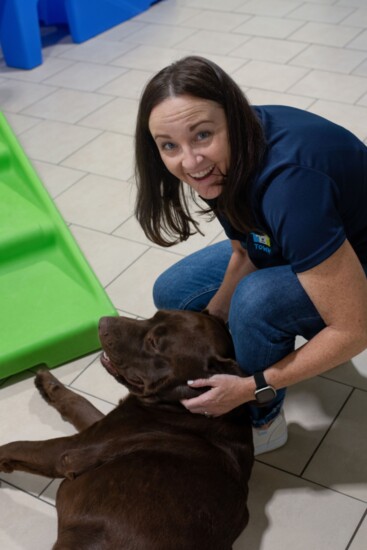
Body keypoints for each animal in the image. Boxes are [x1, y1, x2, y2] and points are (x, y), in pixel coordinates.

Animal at [0, 312, 254, 548]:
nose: (102, 321)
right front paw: (48, 383)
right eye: (156, 314)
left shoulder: (68, 452)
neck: (180, 406)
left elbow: (15, 446)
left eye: (154, 342)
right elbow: (78, 401)